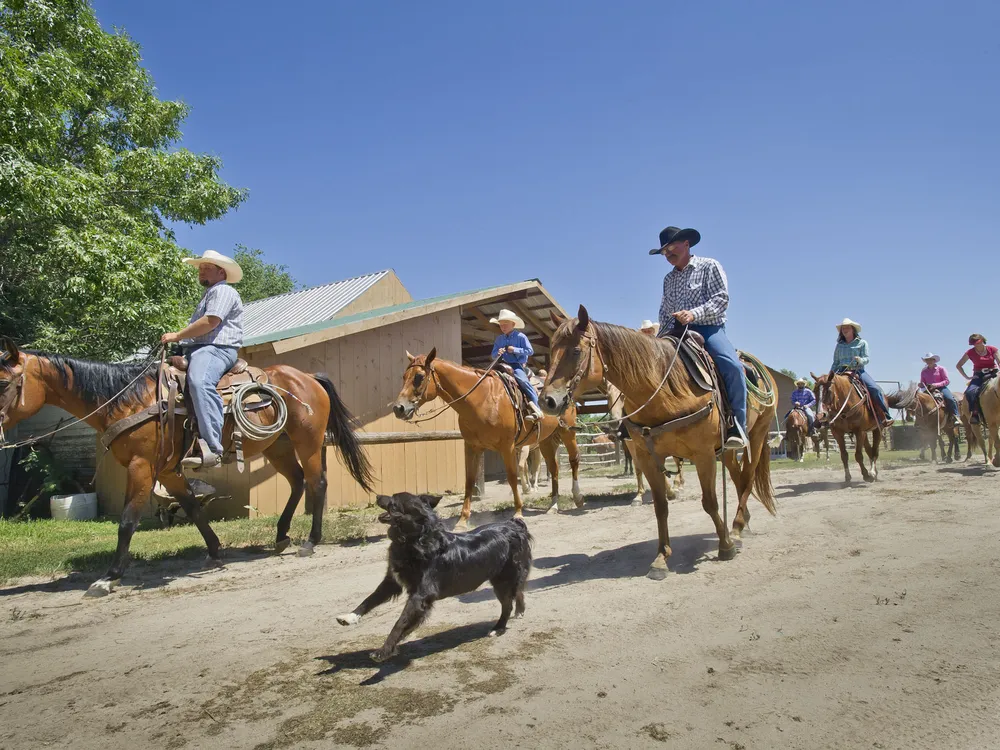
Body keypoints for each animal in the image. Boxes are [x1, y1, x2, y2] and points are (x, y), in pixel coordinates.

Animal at [0, 340, 374, 600]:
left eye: (5, 383)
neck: (128, 400)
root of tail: (308, 378)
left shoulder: (142, 468)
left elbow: (127, 522)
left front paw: (109, 578)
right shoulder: (166, 472)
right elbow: (193, 508)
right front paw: (215, 552)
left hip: (307, 442)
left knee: (316, 482)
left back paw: (310, 542)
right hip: (277, 446)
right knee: (297, 482)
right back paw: (281, 535)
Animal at [336, 494, 536, 664]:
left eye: (394, 502)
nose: (377, 496)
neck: (415, 540)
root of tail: (514, 525)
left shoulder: (420, 596)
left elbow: (399, 624)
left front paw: (384, 651)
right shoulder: (392, 582)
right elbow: (369, 600)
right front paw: (350, 617)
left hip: (502, 581)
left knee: (507, 605)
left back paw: (499, 628)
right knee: (518, 591)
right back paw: (520, 610)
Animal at [388, 352, 584, 532]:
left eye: (419, 377)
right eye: (404, 377)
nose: (399, 408)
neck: (482, 399)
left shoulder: (507, 446)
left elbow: (512, 477)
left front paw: (518, 512)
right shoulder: (472, 447)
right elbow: (469, 480)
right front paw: (462, 520)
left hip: (567, 432)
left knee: (574, 460)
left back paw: (578, 497)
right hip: (545, 440)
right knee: (554, 469)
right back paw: (553, 505)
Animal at [540, 306, 780, 580]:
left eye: (576, 351)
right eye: (551, 351)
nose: (547, 401)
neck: (667, 391)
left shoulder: (703, 455)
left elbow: (709, 502)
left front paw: (725, 546)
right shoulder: (648, 457)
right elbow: (661, 507)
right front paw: (661, 558)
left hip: (758, 434)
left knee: (748, 478)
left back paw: (737, 529)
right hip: (726, 450)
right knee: (739, 478)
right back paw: (742, 524)